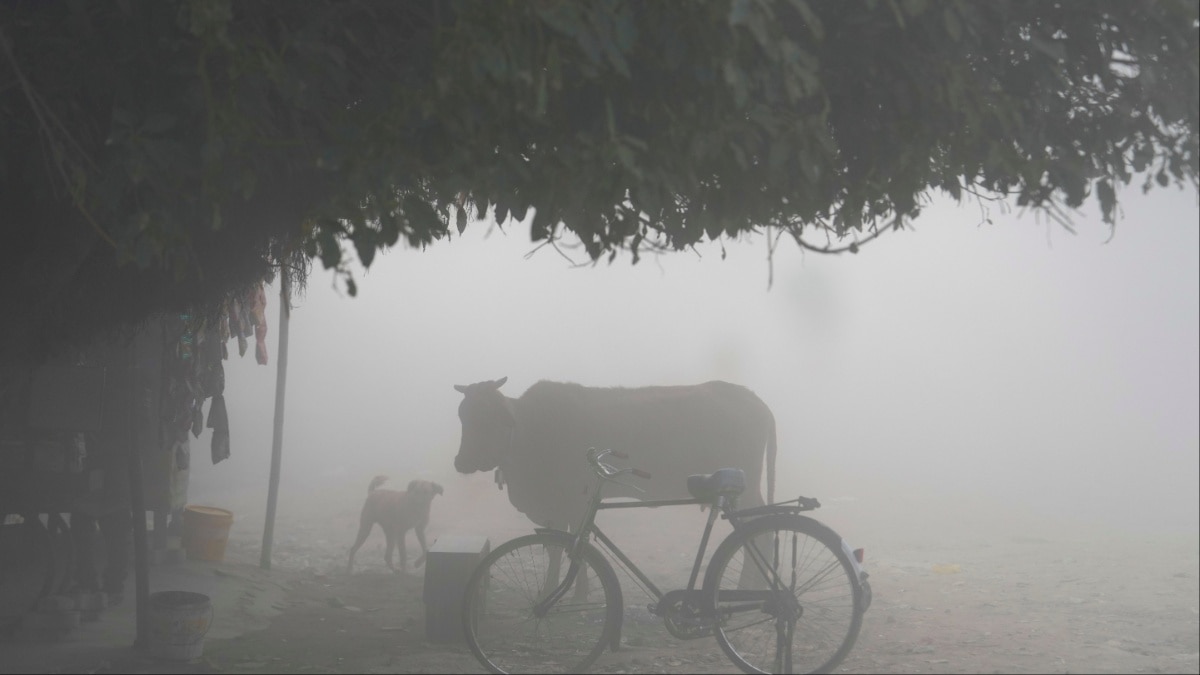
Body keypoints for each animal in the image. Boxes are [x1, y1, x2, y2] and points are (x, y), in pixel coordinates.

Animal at [451, 374, 777, 528]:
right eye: (463, 416)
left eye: (486, 418)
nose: (461, 462)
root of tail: (754, 400)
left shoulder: (568, 501)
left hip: (746, 490)